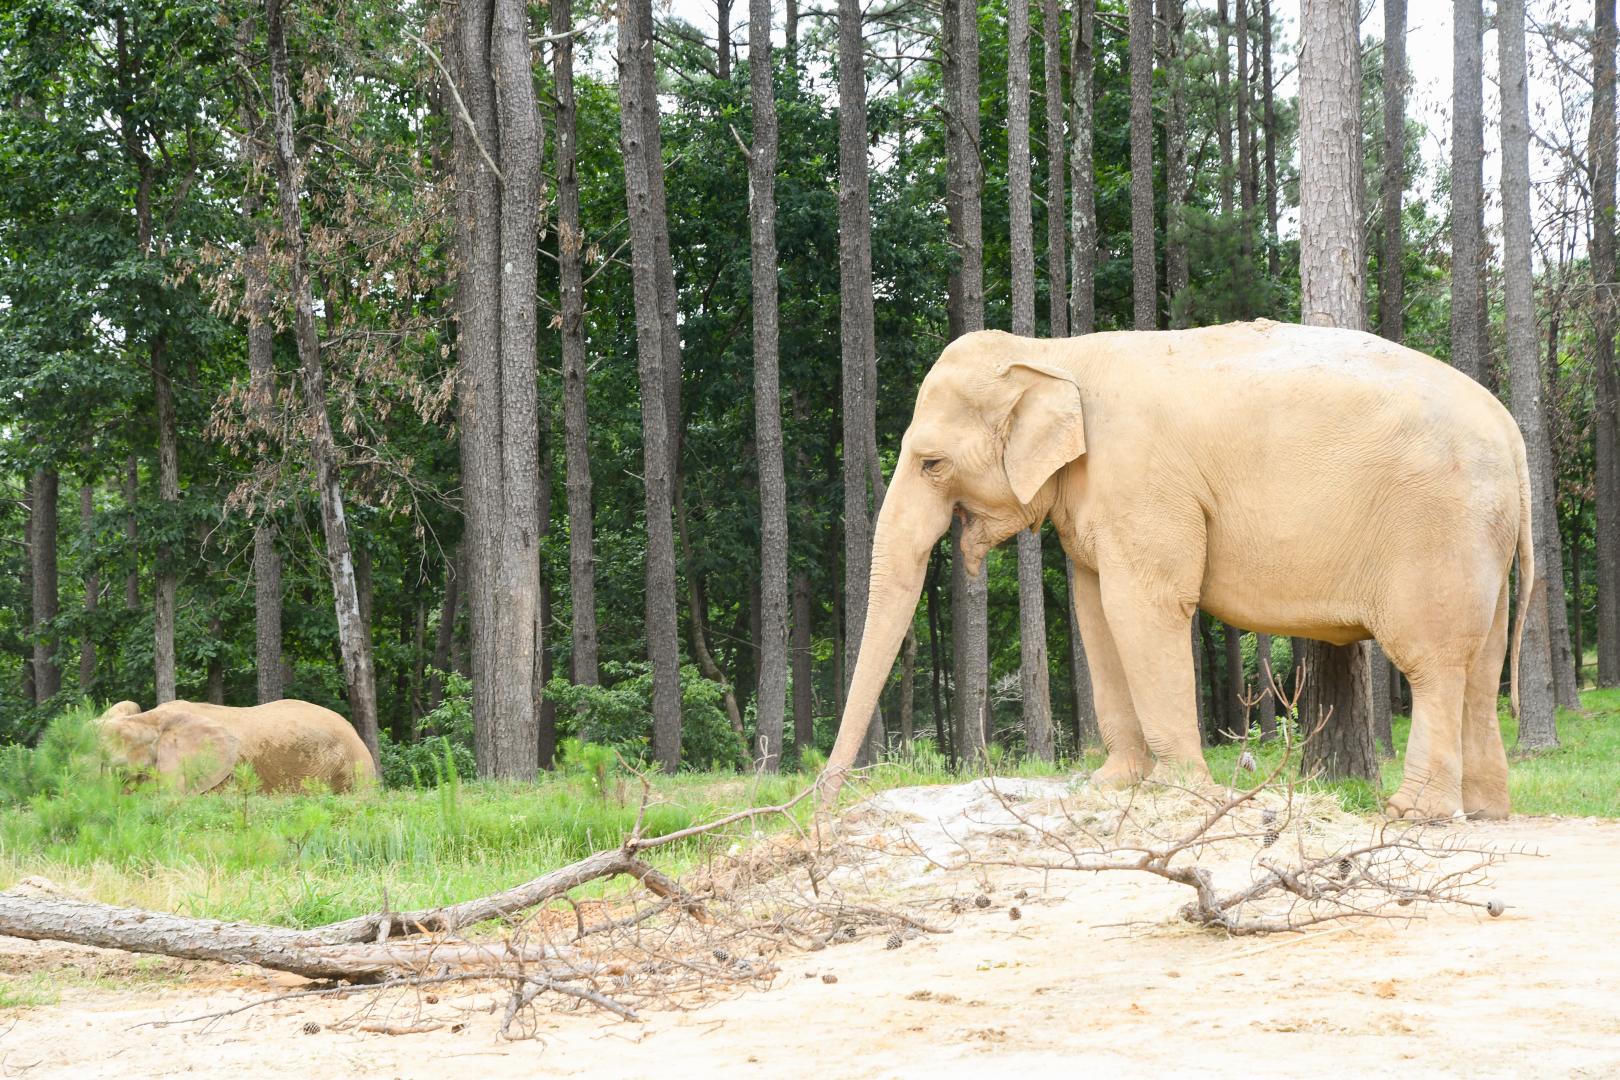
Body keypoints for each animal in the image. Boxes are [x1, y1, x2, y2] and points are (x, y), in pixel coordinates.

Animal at [821, 321, 1533, 821]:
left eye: (930, 463)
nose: (822, 809)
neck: (1054, 352)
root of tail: (1513, 433)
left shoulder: (1142, 483)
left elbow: (1145, 607)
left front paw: (1181, 791)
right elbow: (1094, 613)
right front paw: (1113, 783)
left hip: (1437, 527)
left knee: (1434, 664)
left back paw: (1415, 813)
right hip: (1482, 539)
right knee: (1479, 667)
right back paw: (1487, 811)